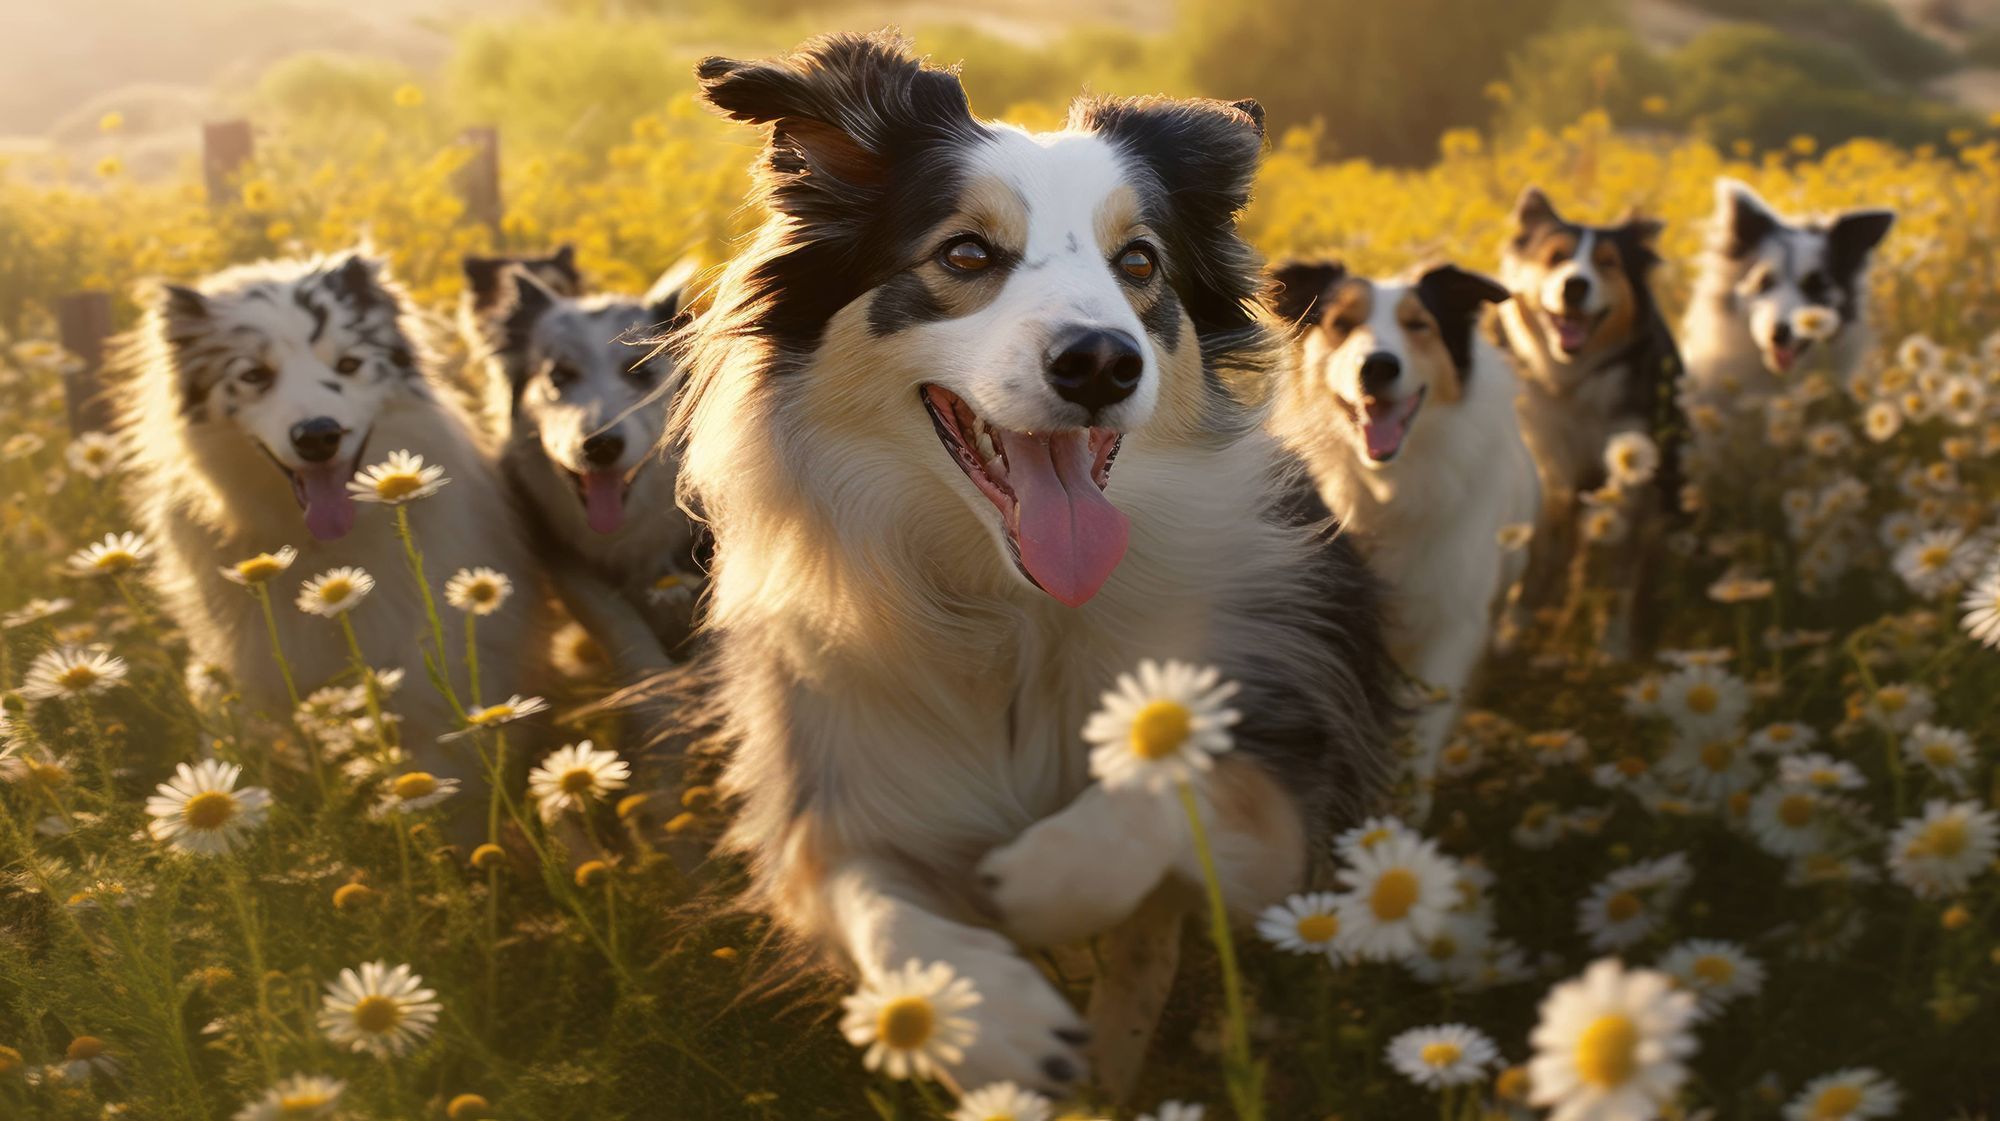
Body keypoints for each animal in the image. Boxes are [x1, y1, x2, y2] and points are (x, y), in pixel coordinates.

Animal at [664, 32, 1400, 1096]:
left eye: (1138, 261)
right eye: (966, 252)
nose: (1100, 362)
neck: (1008, 607)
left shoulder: (1283, 779)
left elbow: (1177, 783)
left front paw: (1043, 884)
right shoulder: (834, 781)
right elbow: (871, 903)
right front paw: (989, 1013)